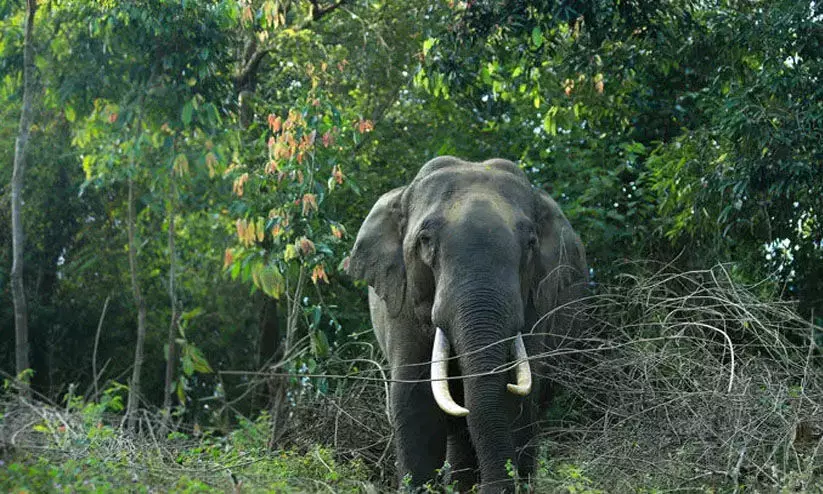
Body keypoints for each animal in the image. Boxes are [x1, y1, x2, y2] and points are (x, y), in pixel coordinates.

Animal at [344, 156, 588, 492]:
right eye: (425, 240)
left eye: (530, 243)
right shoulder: (402, 304)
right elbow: (414, 400)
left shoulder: (537, 303)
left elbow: (517, 398)